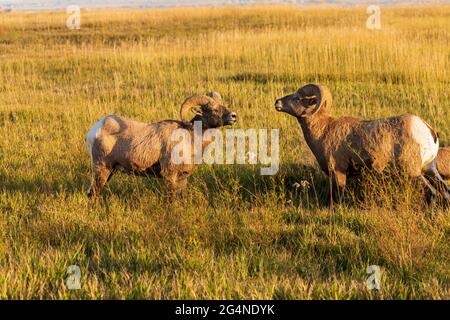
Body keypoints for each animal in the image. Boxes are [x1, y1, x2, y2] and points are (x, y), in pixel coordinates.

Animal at [85, 91, 237, 199]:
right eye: (213, 109)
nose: (234, 116)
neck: (191, 138)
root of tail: (95, 130)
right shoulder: (170, 175)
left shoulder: (182, 178)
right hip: (102, 169)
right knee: (93, 193)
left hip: (110, 171)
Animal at [274, 83, 450, 202]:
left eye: (298, 98)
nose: (277, 102)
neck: (324, 130)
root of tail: (428, 130)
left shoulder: (338, 172)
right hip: (430, 170)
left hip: (415, 173)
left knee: (433, 193)